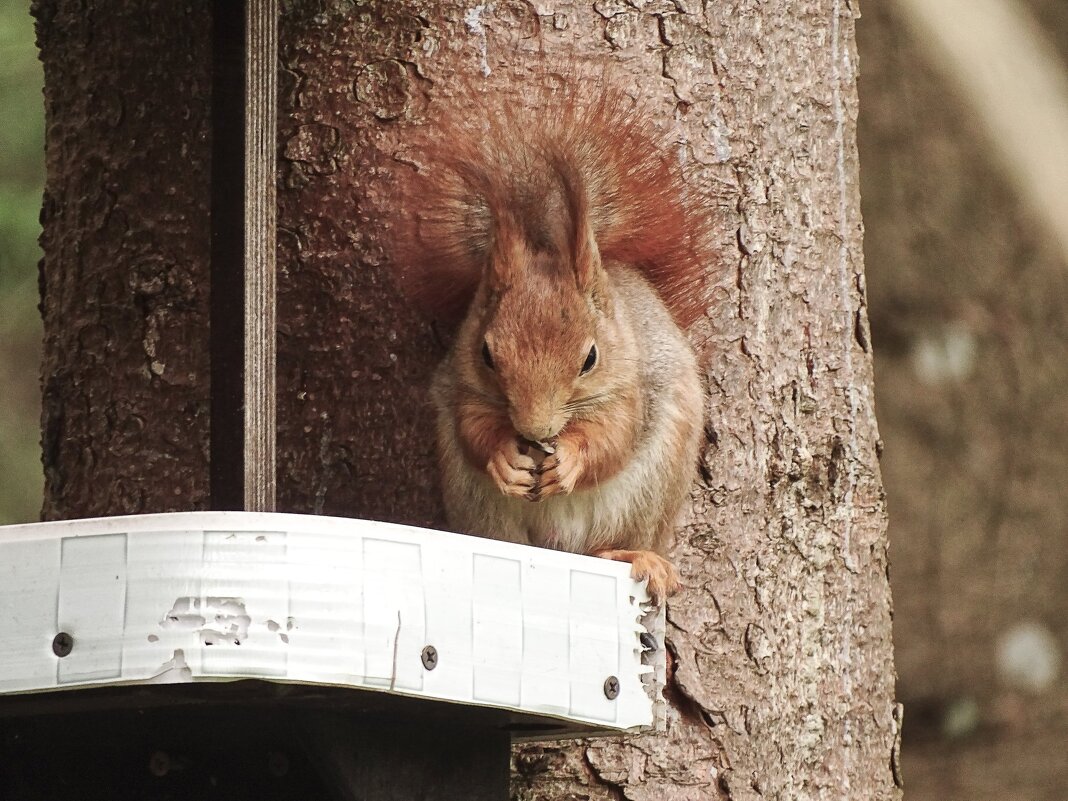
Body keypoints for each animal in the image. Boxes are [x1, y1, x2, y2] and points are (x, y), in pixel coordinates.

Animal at [388, 83, 713, 606]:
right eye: (486, 354)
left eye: (591, 358)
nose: (535, 430)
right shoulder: (463, 386)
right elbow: (472, 428)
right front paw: (503, 456)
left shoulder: (629, 388)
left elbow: (614, 438)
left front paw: (572, 460)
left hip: (649, 493)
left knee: (613, 543)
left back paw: (635, 556)